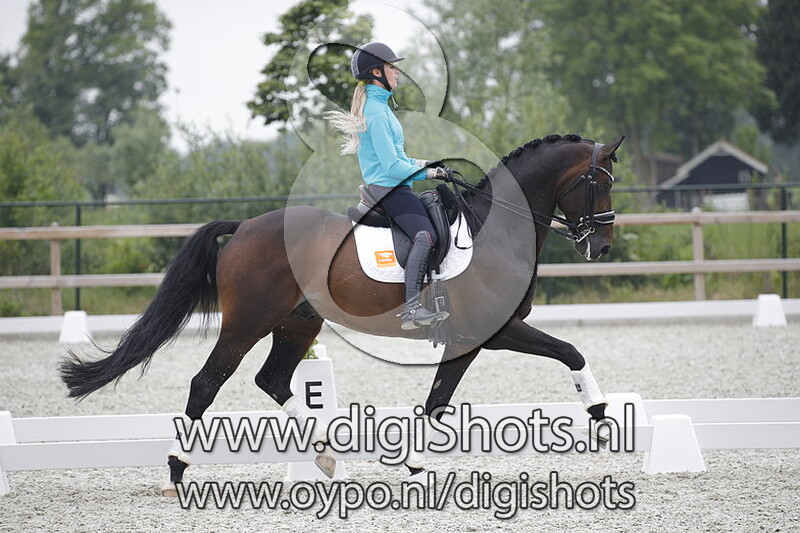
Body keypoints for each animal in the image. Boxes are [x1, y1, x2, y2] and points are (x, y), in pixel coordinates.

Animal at [59, 133, 624, 494]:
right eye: (602, 183)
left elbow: (438, 401)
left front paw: (415, 463)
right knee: (207, 383)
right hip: (247, 323)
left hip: (297, 323)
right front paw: (600, 413)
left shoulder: (470, 339)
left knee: (272, 381)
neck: (495, 228)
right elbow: (567, 352)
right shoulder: (495, 330)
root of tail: (245, 226)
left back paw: (329, 454)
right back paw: (179, 468)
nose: (601, 246)